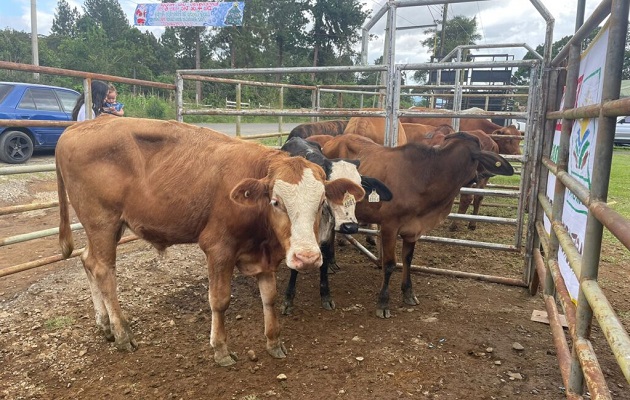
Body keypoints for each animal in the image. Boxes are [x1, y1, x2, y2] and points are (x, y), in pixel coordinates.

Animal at [58, 115, 366, 366]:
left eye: (322, 202)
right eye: (276, 202)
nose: (308, 258)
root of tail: (75, 129)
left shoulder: (266, 256)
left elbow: (270, 298)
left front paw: (273, 342)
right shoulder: (218, 249)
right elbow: (219, 300)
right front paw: (220, 350)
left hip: (106, 227)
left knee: (87, 261)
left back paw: (105, 325)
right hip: (102, 222)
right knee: (103, 270)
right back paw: (122, 334)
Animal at [280, 136, 392, 314]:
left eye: (359, 189)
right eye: (331, 189)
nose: (349, 227)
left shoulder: (326, 234)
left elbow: (324, 261)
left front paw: (326, 295)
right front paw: (288, 301)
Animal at [324, 133, 516, 318]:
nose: (481, 176)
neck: (426, 176)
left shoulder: (413, 229)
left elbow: (408, 259)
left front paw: (408, 293)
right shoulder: (389, 227)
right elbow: (390, 264)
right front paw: (383, 303)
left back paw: (332, 262)